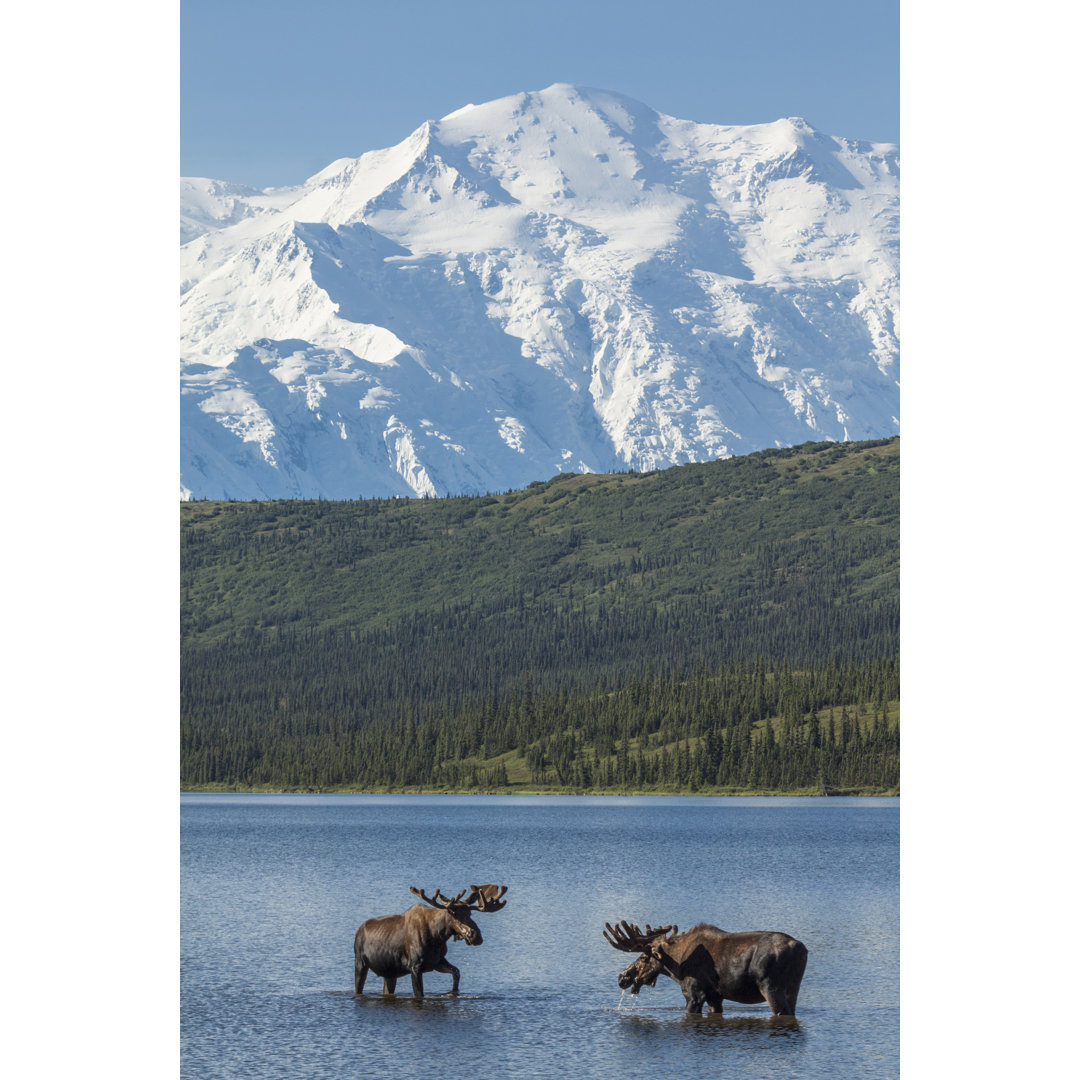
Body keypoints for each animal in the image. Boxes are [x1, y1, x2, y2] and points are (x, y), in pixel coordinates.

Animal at [352, 881, 507, 997]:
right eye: (453, 913)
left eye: (470, 913)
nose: (476, 936)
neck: (437, 937)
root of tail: (358, 931)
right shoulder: (415, 966)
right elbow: (420, 994)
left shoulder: (437, 962)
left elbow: (456, 973)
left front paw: (454, 993)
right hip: (360, 962)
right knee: (358, 987)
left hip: (389, 973)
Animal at [604, 915, 807, 1015]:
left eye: (644, 957)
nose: (622, 977)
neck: (676, 966)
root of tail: (801, 950)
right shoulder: (715, 997)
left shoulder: (694, 994)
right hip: (793, 988)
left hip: (770, 987)